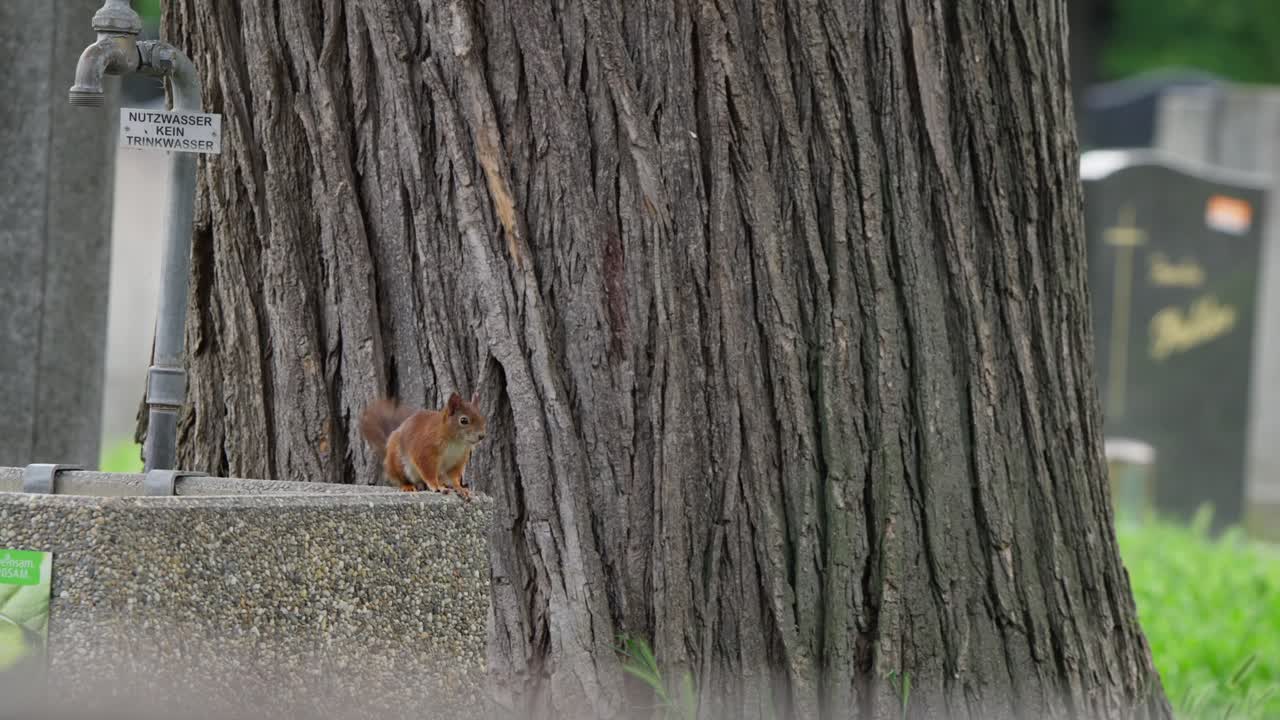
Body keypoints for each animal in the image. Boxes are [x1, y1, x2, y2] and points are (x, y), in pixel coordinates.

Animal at [358, 391, 487, 499]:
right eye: (463, 420)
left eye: (482, 418)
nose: (482, 436)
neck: (456, 442)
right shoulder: (425, 450)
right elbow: (428, 471)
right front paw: (436, 486)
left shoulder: (458, 459)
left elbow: (454, 477)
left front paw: (460, 488)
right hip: (398, 462)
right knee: (401, 479)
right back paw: (408, 486)